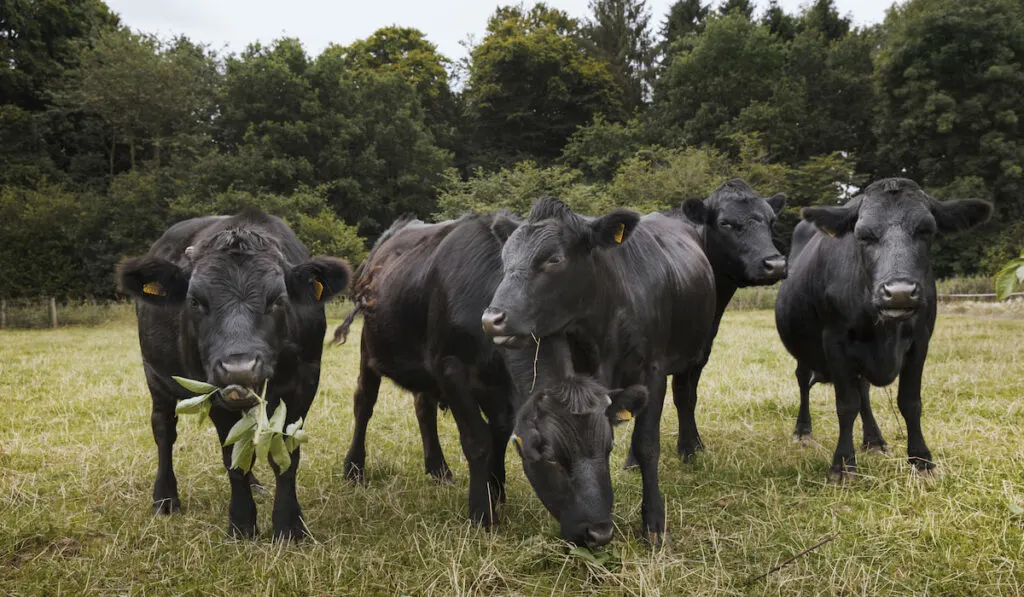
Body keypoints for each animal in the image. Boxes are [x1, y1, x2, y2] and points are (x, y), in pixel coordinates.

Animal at [117, 210, 352, 540]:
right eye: (195, 301)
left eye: (278, 299)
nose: (239, 368)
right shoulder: (213, 392)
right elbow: (232, 459)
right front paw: (242, 523)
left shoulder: (305, 382)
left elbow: (285, 457)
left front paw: (289, 525)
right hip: (155, 376)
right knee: (164, 431)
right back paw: (165, 498)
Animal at [344, 210, 647, 544]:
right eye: (551, 457)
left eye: (608, 448)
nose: (600, 532)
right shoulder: (450, 367)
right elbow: (478, 440)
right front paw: (482, 513)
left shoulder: (499, 385)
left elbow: (500, 433)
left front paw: (496, 490)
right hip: (369, 346)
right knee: (364, 402)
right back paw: (354, 468)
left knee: (423, 407)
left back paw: (438, 469)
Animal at [483, 197, 716, 540]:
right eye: (504, 259)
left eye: (554, 259)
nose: (492, 319)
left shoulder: (654, 370)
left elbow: (647, 443)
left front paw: (654, 521)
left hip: (698, 350)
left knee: (685, 397)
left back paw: (690, 449)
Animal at [774, 177, 991, 481]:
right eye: (863, 235)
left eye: (927, 230)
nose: (899, 293)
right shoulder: (834, 340)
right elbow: (846, 404)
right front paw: (843, 465)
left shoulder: (920, 341)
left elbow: (910, 402)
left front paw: (921, 460)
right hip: (804, 348)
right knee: (804, 380)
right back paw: (803, 431)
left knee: (863, 390)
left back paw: (874, 439)